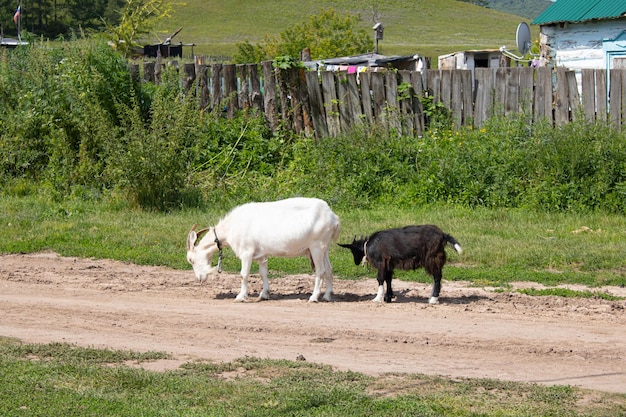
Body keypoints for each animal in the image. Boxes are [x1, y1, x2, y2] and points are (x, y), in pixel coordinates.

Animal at [185, 197, 338, 300]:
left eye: (191, 260)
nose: (199, 279)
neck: (231, 228)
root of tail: (333, 217)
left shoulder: (246, 252)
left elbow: (243, 274)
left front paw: (241, 296)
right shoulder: (261, 255)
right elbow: (263, 273)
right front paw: (264, 294)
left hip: (316, 246)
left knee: (320, 271)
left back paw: (314, 297)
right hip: (324, 247)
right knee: (329, 269)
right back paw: (327, 296)